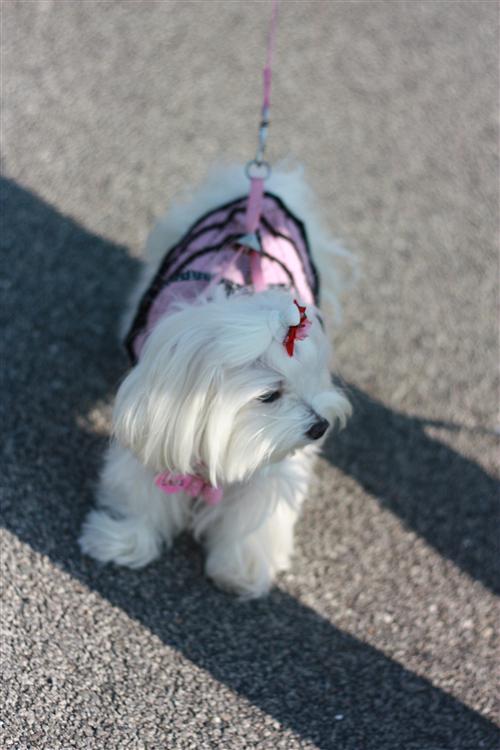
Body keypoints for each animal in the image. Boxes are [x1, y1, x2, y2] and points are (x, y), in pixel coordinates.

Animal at [79, 164, 352, 597]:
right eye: (269, 395)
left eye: (311, 379)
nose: (320, 427)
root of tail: (264, 189)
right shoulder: (157, 428)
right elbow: (142, 491)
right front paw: (123, 541)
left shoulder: (269, 454)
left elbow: (257, 506)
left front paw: (242, 568)